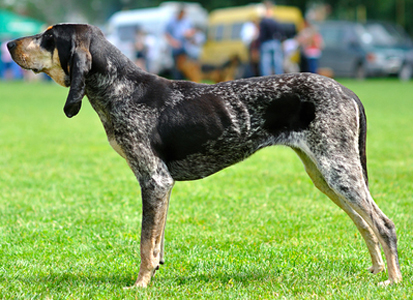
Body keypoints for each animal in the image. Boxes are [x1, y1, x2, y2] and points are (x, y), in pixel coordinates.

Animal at [5, 23, 400, 286]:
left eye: (48, 38)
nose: (8, 43)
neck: (121, 88)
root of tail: (346, 89)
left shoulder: (154, 180)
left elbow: (145, 243)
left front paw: (140, 285)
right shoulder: (161, 185)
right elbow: (157, 241)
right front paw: (154, 275)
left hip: (338, 170)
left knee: (384, 224)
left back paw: (392, 280)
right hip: (325, 174)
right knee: (365, 223)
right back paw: (377, 270)